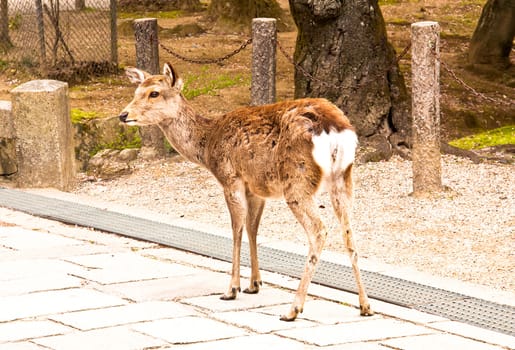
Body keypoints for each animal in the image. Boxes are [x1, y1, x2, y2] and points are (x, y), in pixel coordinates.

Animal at [119, 62, 372, 320]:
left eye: (154, 93)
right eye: (136, 91)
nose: (124, 115)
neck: (208, 145)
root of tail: (335, 130)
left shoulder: (231, 178)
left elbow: (236, 229)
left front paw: (232, 289)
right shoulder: (257, 188)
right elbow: (252, 228)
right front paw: (254, 284)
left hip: (297, 182)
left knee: (319, 231)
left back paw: (293, 308)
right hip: (344, 179)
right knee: (349, 234)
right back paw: (365, 306)